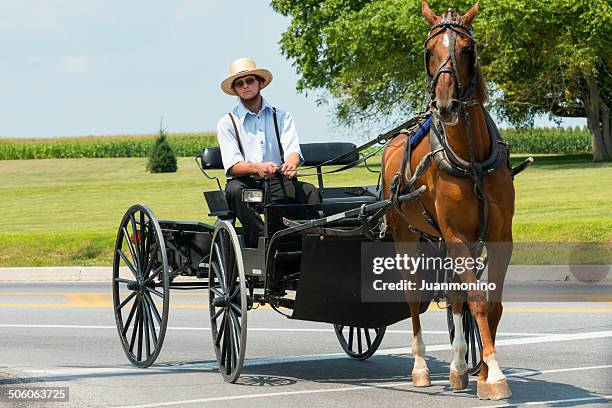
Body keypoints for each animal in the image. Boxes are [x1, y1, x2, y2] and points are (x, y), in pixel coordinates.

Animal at [382, 0, 516, 402]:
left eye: (467, 50)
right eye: (429, 52)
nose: (445, 105)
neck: (471, 156)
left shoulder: (498, 237)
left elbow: (490, 303)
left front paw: (483, 371)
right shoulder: (456, 234)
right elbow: (477, 301)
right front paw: (495, 375)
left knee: (455, 296)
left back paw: (458, 369)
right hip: (405, 235)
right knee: (413, 296)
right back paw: (421, 367)